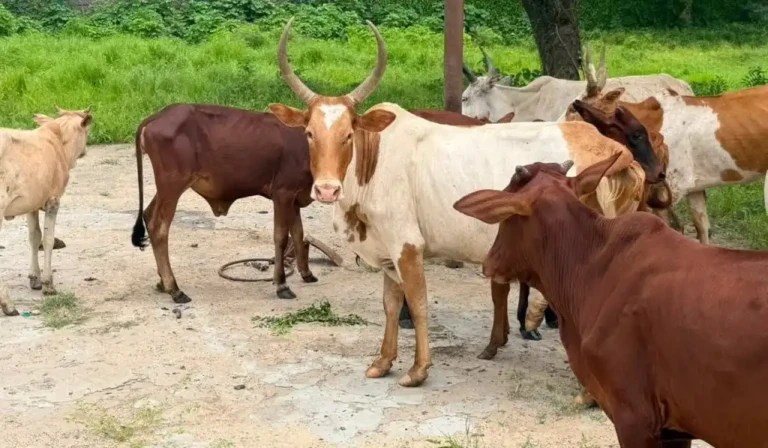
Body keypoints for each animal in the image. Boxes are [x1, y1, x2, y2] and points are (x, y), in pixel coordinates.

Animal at [0, 108, 93, 316]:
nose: (85, 151)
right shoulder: (53, 201)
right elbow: (48, 240)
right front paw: (48, 284)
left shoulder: (31, 204)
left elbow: (34, 238)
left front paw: (34, 279)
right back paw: (8, 304)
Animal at [268, 18, 663, 386]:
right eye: (309, 133)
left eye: (349, 134)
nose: (326, 190)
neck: (375, 159)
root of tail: (611, 149)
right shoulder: (387, 250)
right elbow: (391, 305)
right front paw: (383, 362)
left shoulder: (407, 246)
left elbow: (418, 304)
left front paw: (418, 369)